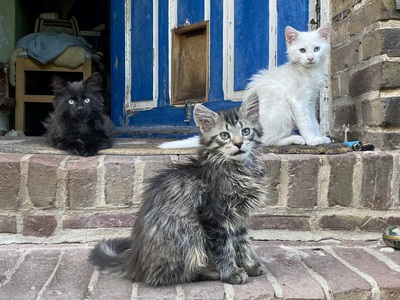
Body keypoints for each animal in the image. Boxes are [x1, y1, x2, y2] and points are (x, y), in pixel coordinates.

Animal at [89, 95, 270, 286]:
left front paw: (249, 264)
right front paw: (231, 272)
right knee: (171, 274)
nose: (239, 143)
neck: (240, 170)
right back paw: (209, 271)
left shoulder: (240, 217)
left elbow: (242, 242)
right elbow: (224, 248)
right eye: (224, 135)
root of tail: (134, 261)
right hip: (190, 228)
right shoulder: (214, 216)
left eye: (246, 131)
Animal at [159, 22, 332, 149]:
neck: (307, 71)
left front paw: (320, 136)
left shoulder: (310, 101)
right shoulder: (298, 101)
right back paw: (294, 138)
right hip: (280, 110)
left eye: (317, 49)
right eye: (302, 50)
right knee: (266, 140)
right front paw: (312, 140)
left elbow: (313, 120)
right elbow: (306, 122)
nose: (310, 58)